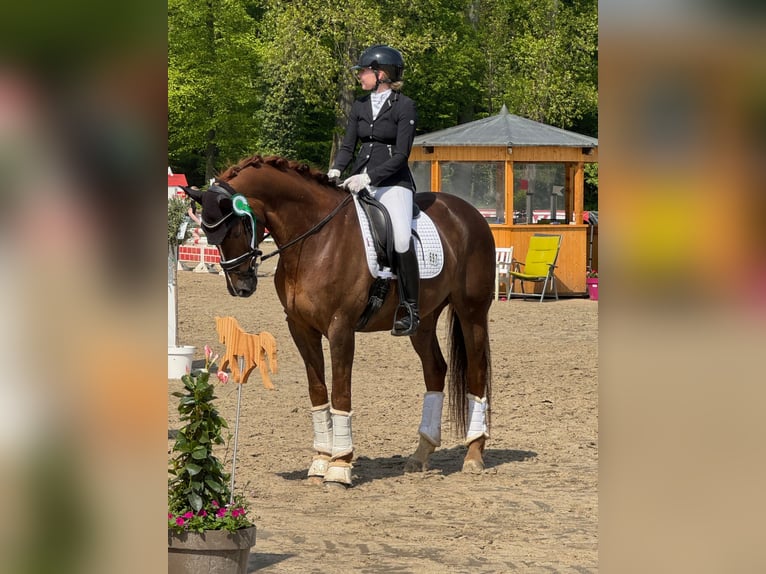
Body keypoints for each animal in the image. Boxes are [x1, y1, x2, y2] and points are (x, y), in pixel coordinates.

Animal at [187, 155, 498, 488]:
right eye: (208, 234)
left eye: (236, 228)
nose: (241, 287)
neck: (314, 239)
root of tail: (470, 213)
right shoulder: (301, 328)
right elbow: (318, 391)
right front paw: (320, 462)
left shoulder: (340, 327)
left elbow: (340, 391)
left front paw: (340, 466)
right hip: (423, 321)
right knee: (436, 370)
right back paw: (421, 453)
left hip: (471, 312)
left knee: (476, 370)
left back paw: (474, 454)